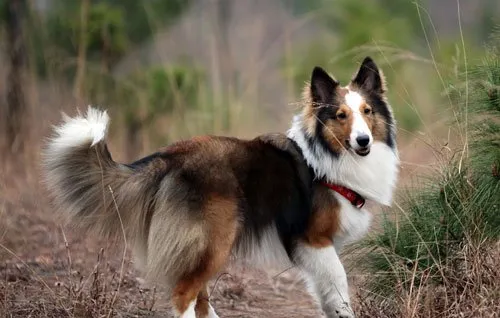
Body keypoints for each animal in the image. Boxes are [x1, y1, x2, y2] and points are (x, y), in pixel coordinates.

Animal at [45, 57, 400, 318]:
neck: (330, 156)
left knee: (198, 294)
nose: (363, 141)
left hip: (201, 245)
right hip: (214, 239)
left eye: (367, 112)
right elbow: (340, 283)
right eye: (341, 115)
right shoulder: (313, 239)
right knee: (184, 294)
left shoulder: (318, 248)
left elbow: (327, 294)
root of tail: (169, 157)